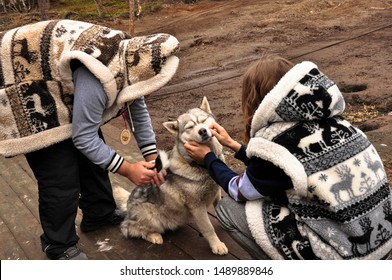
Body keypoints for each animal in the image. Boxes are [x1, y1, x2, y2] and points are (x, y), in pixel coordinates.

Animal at [115, 97, 228, 256]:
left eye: (203, 120)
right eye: (189, 127)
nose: (202, 131)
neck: (202, 165)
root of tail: (129, 204)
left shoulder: (216, 191)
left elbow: (218, 207)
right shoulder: (197, 207)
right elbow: (208, 228)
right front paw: (216, 245)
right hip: (150, 217)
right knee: (130, 228)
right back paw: (154, 236)